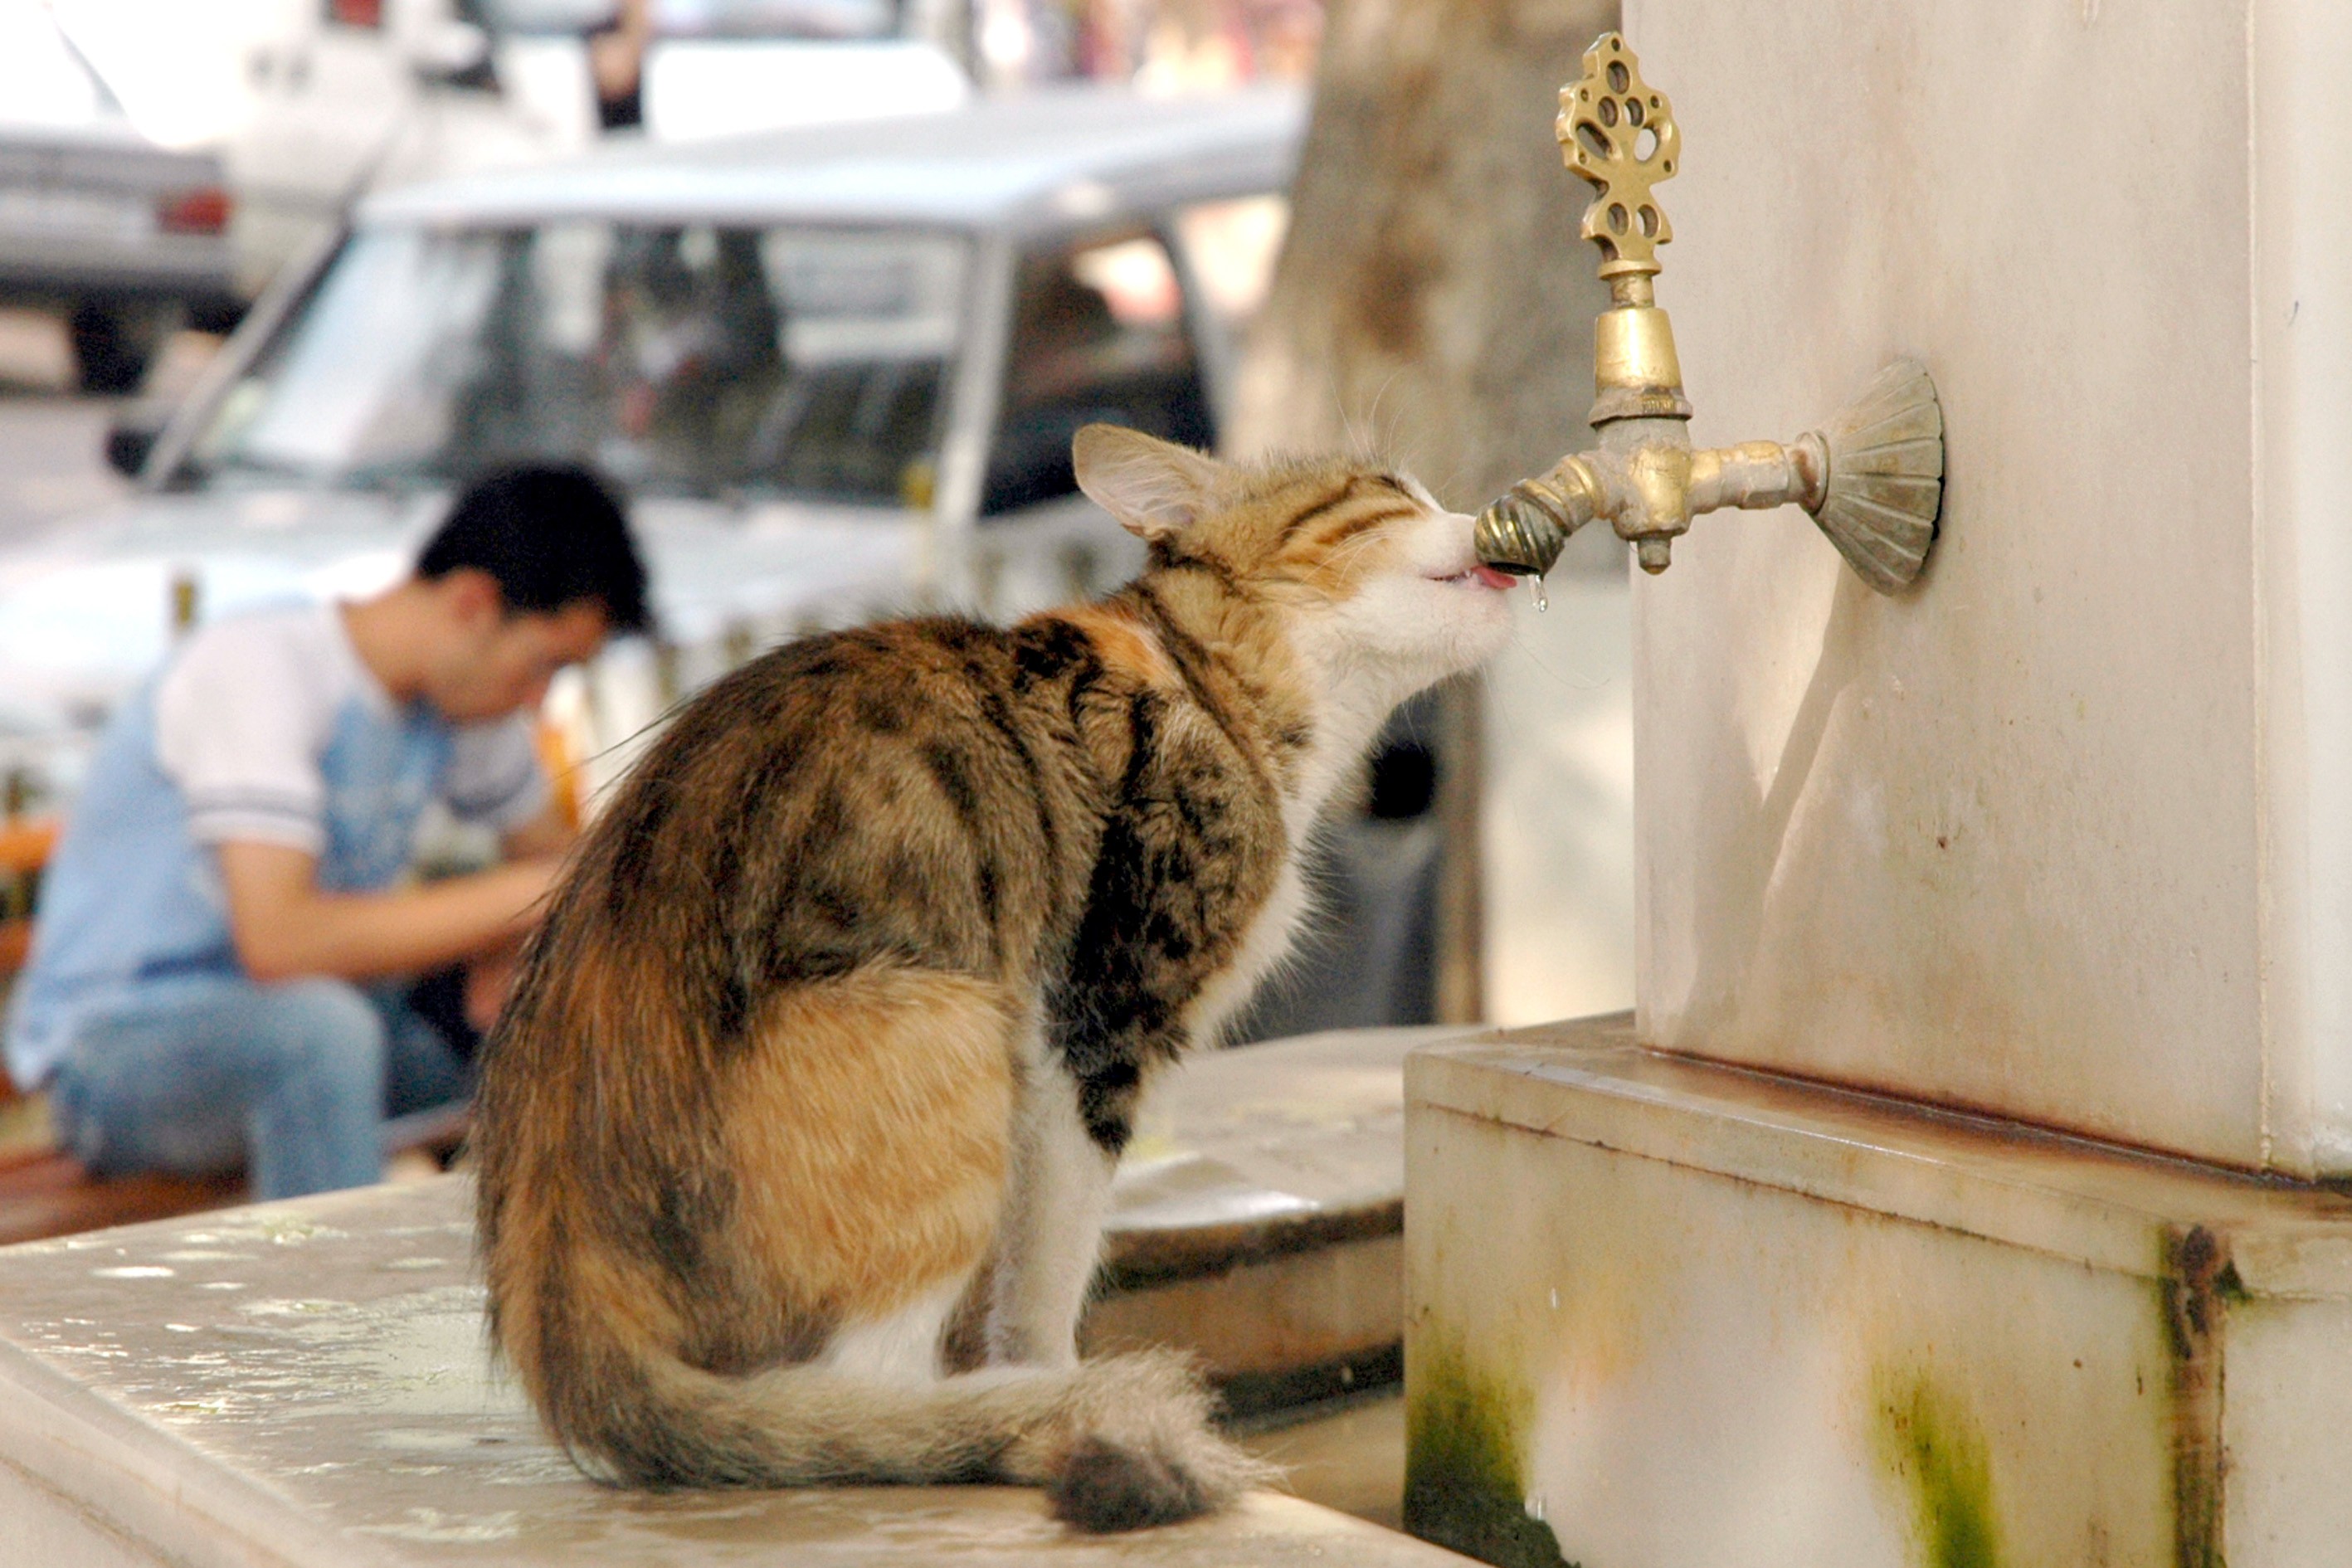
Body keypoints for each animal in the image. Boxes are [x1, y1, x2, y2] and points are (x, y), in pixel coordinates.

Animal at [468, 423, 1514, 1523]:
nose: (1488, 510)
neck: (1218, 690)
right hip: (952, 1018)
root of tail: (568, 1323)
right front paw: (1054, 1380)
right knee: (867, 1389)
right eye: (1389, 491)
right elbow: (1049, 1263)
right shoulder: (1090, 1030)